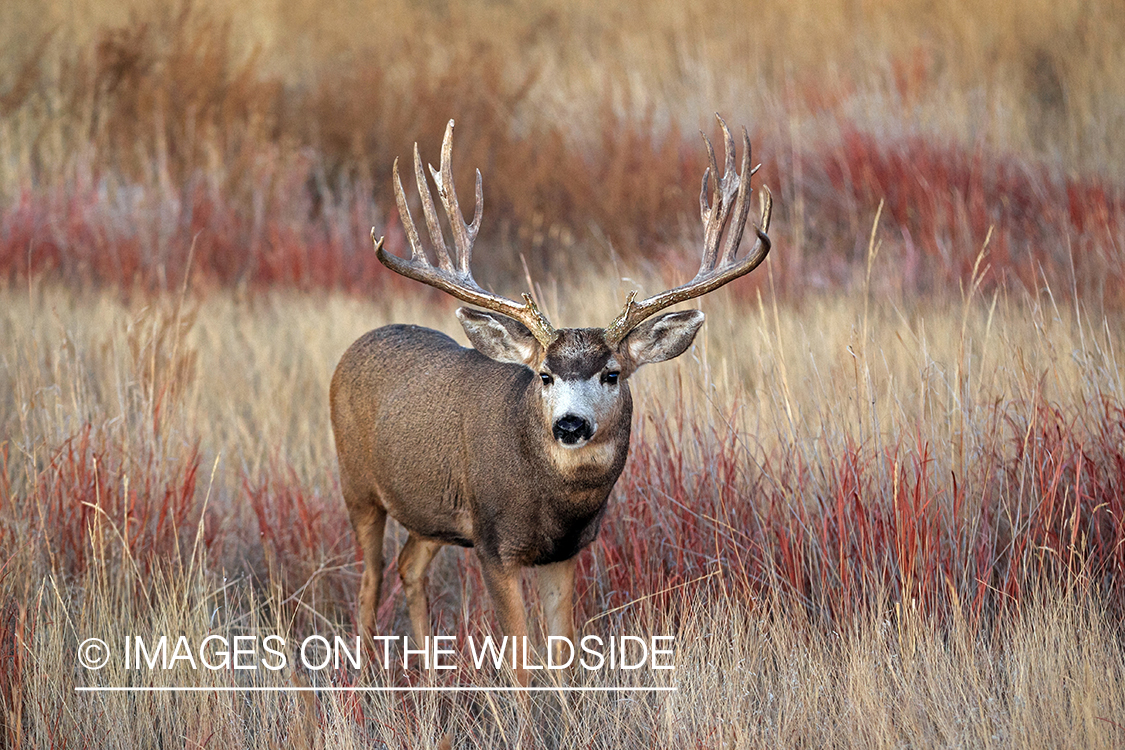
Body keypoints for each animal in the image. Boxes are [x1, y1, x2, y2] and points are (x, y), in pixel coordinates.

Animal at [330, 115, 772, 686]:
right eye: (543, 374)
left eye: (611, 374)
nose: (570, 425)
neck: (554, 504)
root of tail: (356, 346)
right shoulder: (494, 544)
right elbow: (519, 661)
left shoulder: (565, 552)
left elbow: (563, 653)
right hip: (357, 486)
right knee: (370, 578)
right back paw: (364, 674)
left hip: (433, 513)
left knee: (409, 565)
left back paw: (427, 676)